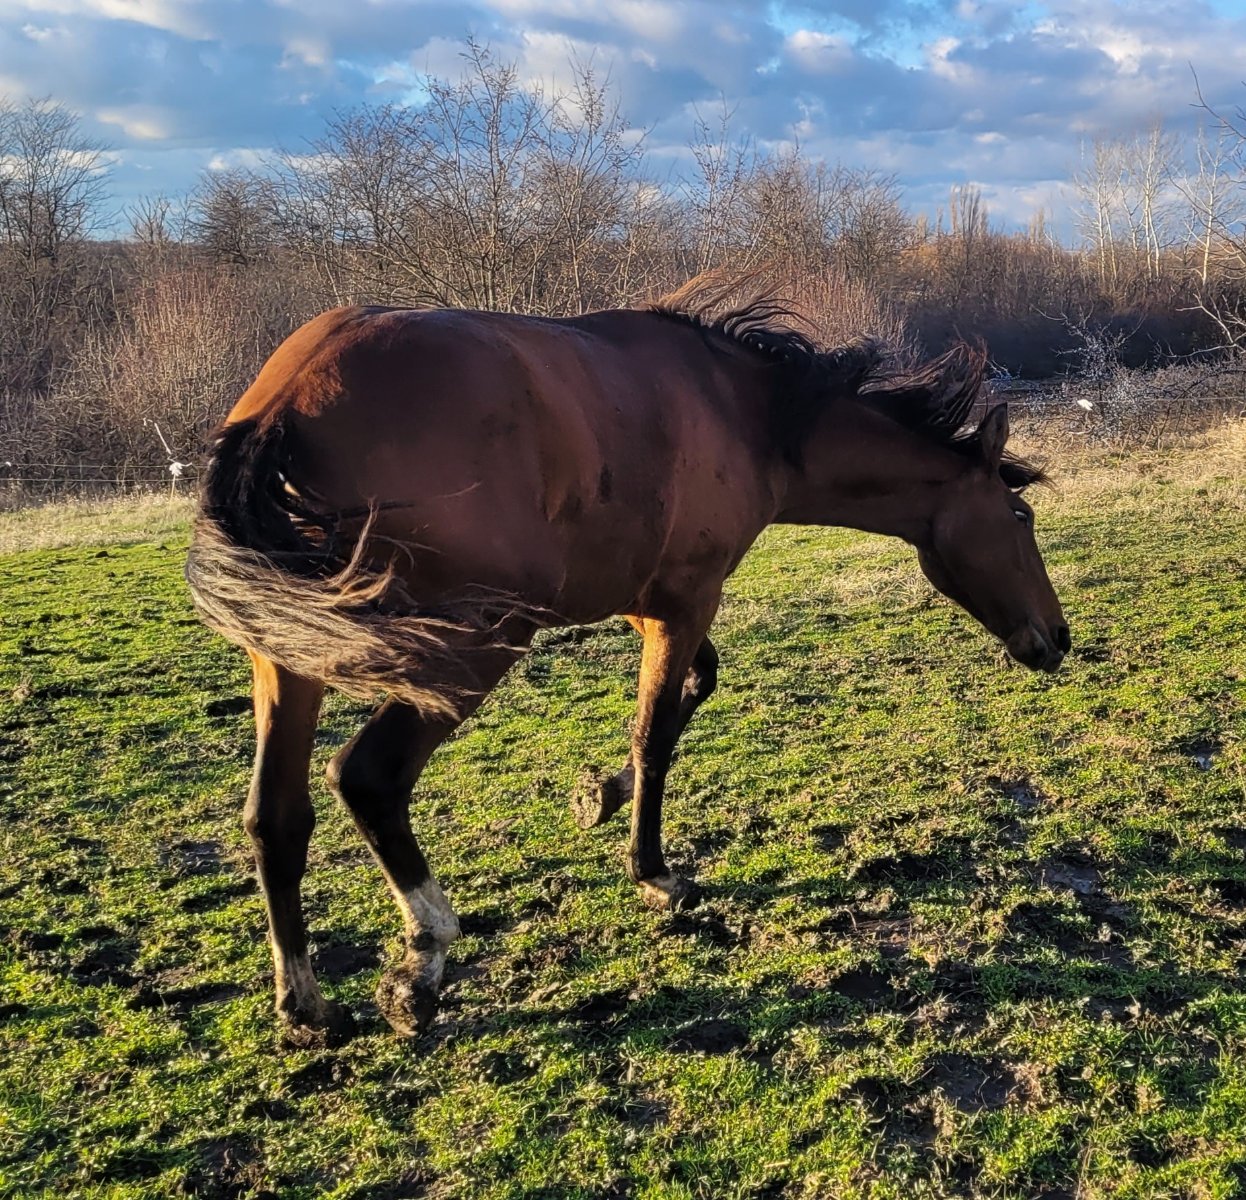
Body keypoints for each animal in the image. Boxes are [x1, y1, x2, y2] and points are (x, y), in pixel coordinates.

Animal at [186, 277, 1069, 1048]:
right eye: (1020, 516)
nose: (1056, 640)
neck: (748, 412)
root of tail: (288, 404)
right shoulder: (687, 601)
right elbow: (657, 736)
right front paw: (653, 871)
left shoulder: (652, 603)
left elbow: (693, 691)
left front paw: (596, 797)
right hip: (475, 645)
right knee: (368, 778)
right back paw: (422, 964)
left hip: (288, 659)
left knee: (277, 816)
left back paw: (305, 1005)